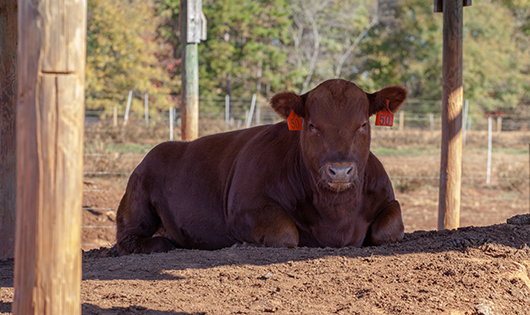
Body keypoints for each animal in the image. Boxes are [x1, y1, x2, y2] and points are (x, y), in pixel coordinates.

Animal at [115, 79, 404, 254]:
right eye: (312, 125)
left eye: (363, 124)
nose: (340, 170)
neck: (336, 213)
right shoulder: (245, 209)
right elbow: (285, 233)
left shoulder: (389, 201)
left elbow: (389, 229)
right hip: (137, 202)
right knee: (127, 238)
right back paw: (160, 242)